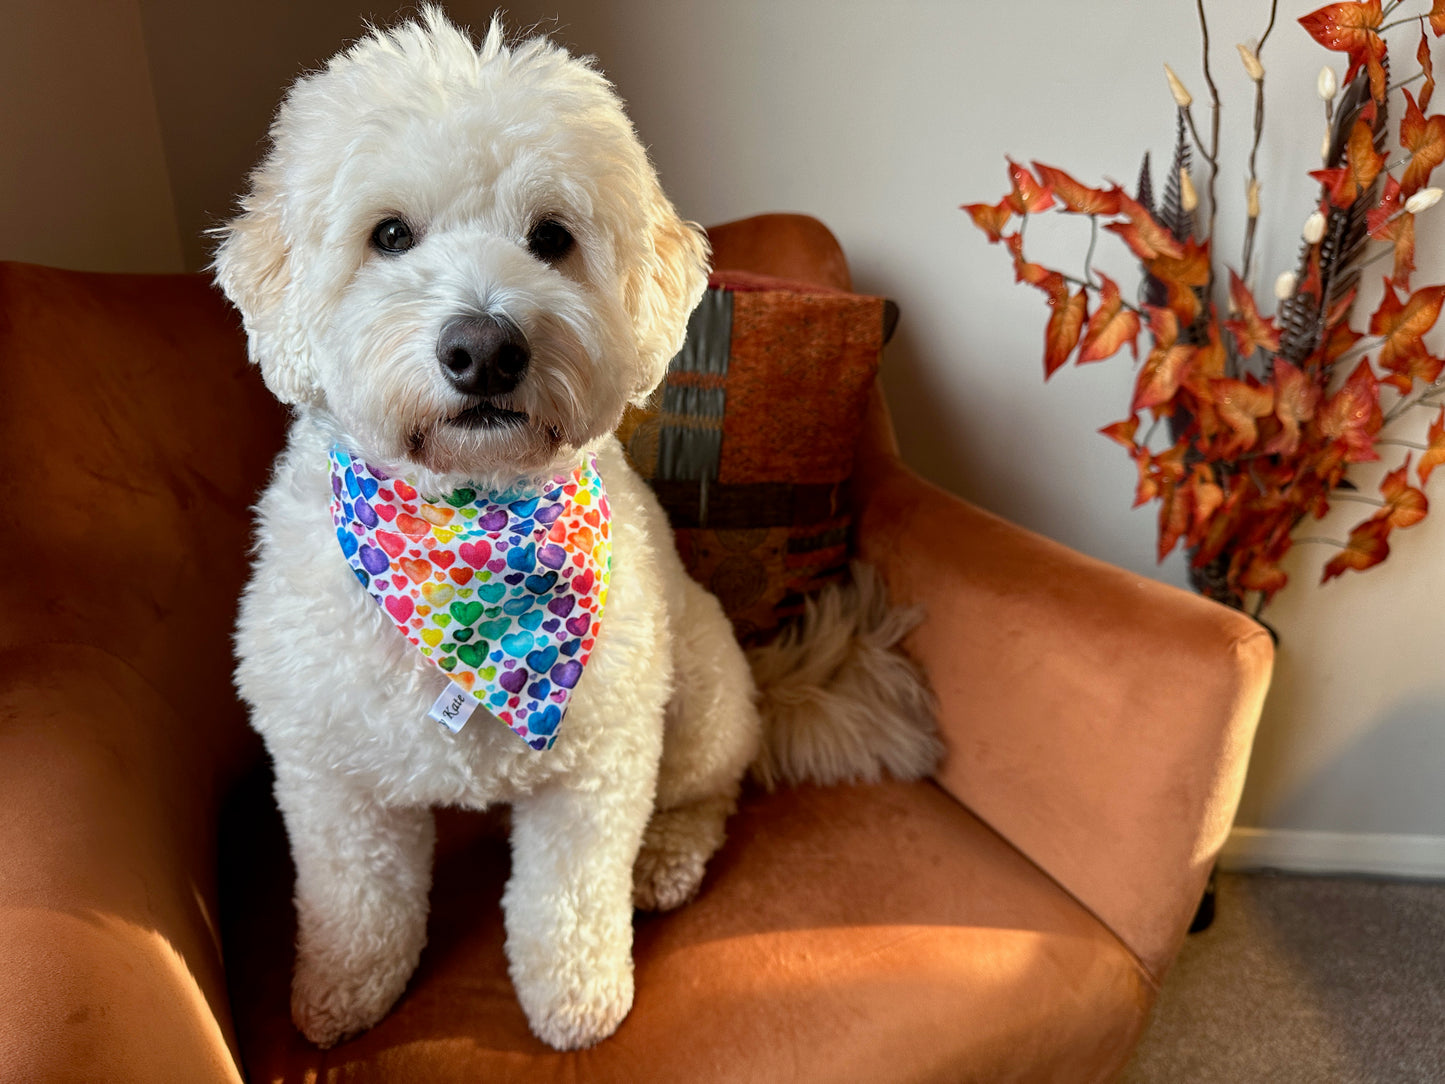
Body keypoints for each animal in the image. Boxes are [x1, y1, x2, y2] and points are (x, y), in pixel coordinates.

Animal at [213, 6, 936, 1052]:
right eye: (388, 234)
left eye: (551, 236)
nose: (484, 348)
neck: (466, 527)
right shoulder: (327, 775)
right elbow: (357, 901)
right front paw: (344, 989)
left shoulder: (595, 767)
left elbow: (567, 901)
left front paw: (578, 1000)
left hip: (697, 696)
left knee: (708, 793)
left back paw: (665, 858)